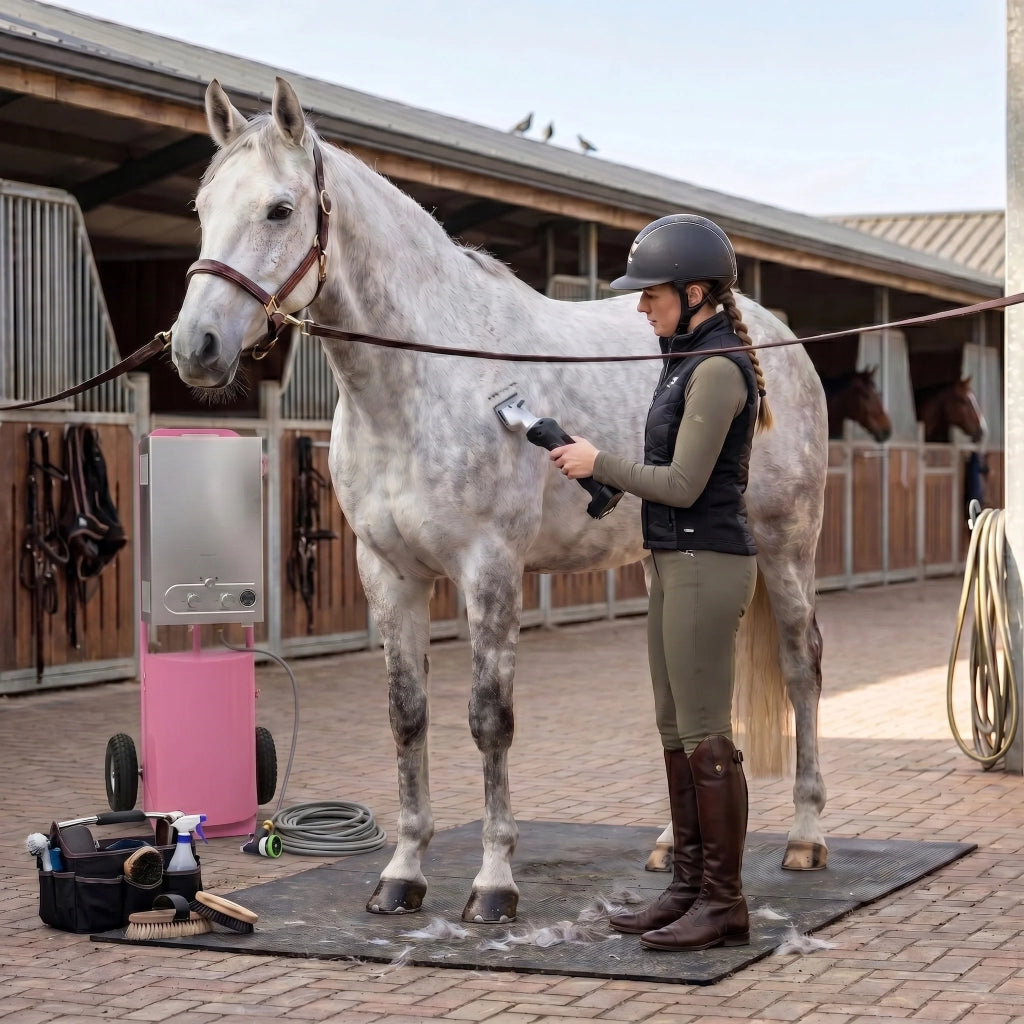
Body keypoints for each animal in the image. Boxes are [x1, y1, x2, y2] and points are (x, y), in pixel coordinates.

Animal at [169, 77, 830, 923]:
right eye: (202, 205)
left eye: (280, 209)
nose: (195, 348)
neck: (424, 379)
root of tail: (777, 339)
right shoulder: (389, 572)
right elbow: (407, 717)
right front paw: (403, 873)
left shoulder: (489, 568)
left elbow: (489, 720)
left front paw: (492, 883)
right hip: (668, 562)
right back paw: (663, 845)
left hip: (785, 544)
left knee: (802, 667)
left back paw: (806, 836)